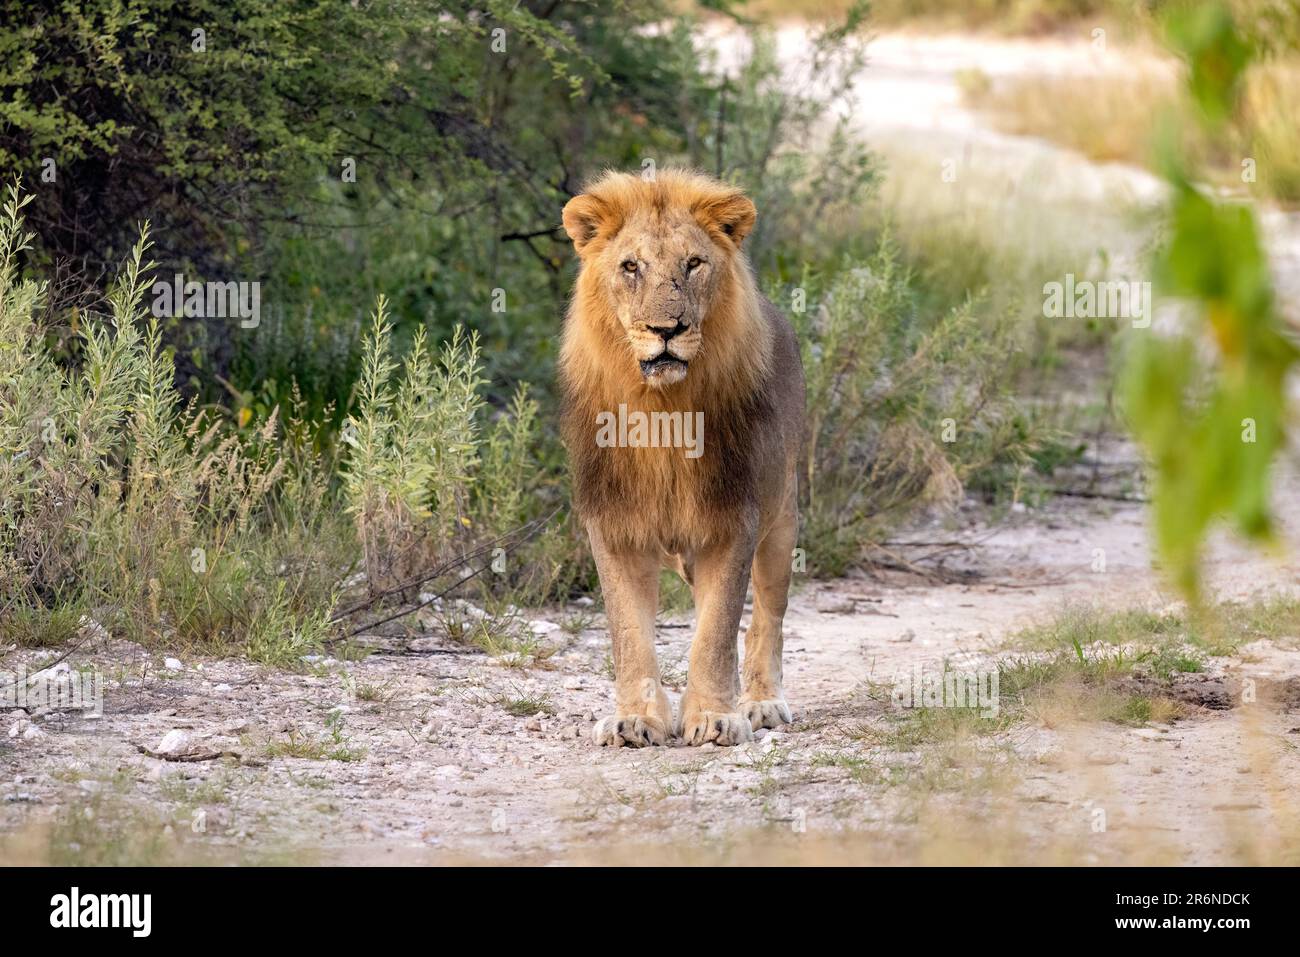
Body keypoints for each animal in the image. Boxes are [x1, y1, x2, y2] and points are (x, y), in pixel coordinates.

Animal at [558, 168, 805, 747]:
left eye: (693, 263)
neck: (663, 411)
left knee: (766, 618)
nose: (665, 330)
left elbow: (716, 631)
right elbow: (629, 634)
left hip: (783, 520)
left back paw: (760, 702)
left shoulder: (734, 521)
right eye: (631, 267)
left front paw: (715, 717)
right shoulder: (613, 526)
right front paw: (636, 719)